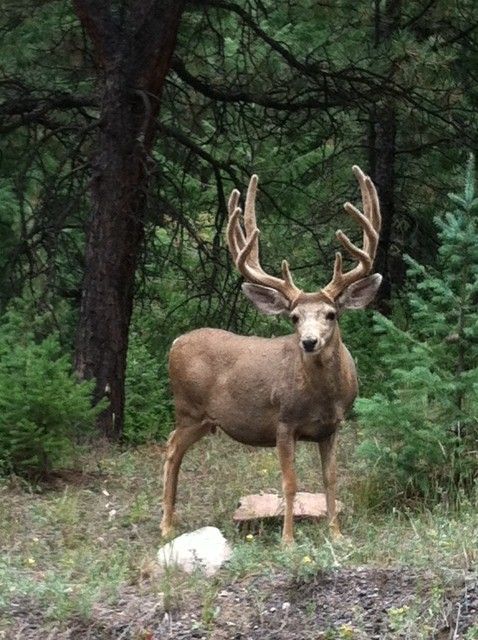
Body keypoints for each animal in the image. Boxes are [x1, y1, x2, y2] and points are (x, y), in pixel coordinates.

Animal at [161, 162, 380, 544]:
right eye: (294, 317)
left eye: (331, 314)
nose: (309, 342)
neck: (321, 397)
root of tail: (176, 342)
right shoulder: (283, 422)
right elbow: (290, 483)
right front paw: (288, 540)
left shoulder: (332, 427)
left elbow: (331, 479)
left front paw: (336, 534)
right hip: (188, 408)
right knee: (172, 450)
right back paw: (166, 525)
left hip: (204, 419)